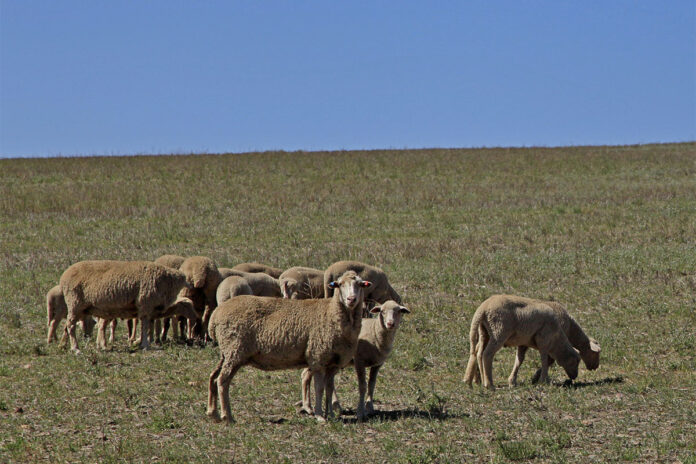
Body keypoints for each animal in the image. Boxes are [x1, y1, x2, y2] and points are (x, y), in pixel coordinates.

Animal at [60, 260, 189, 352]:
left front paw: (142, 343)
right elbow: (145, 325)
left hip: (81, 307)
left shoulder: (148, 308)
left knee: (70, 325)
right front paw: (145, 344)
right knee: (70, 325)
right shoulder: (145, 304)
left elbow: (147, 325)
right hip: (75, 302)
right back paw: (75, 348)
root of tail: (65, 275)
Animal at [207, 271, 372, 423]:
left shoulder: (333, 363)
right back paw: (227, 416)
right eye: (340, 284)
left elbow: (329, 388)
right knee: (222, 381)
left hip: (227, 353)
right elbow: (319, 388)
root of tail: (215, 316)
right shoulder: (317, 357)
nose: (351, 299)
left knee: (213, 377)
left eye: (360, 284)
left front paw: (330, 414)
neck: (332, 313)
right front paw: (320, 416)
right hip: (235, 351)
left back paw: (213, 413)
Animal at [463, 295, 597, 389]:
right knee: (487, 354)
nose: (574, 377)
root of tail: (483, 308)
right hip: (499, 331)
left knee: (478, 353)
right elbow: (545, 360)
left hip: (484, 332)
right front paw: (542, 380)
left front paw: (512, 381)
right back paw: (489, 384)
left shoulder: (524, 343)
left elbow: (519, 360)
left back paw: (475, 381)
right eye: (576, 361)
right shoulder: (544, 340)